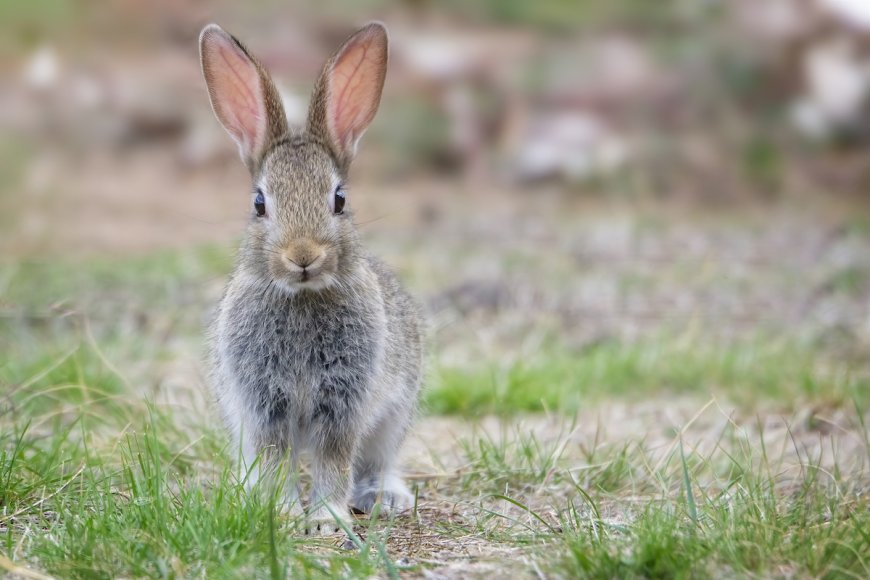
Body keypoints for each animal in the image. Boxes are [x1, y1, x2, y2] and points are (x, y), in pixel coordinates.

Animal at [199, 21, 423, 535]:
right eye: (259, 203)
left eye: (339, 199)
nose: (303, 256)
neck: (301, 296)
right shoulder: (263, 405)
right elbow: (274, 458)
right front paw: (279, 512)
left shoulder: (344, 401)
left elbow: (334, 458)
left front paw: (325, 519)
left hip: (396, 413)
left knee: (377, 459)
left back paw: (385, 496)